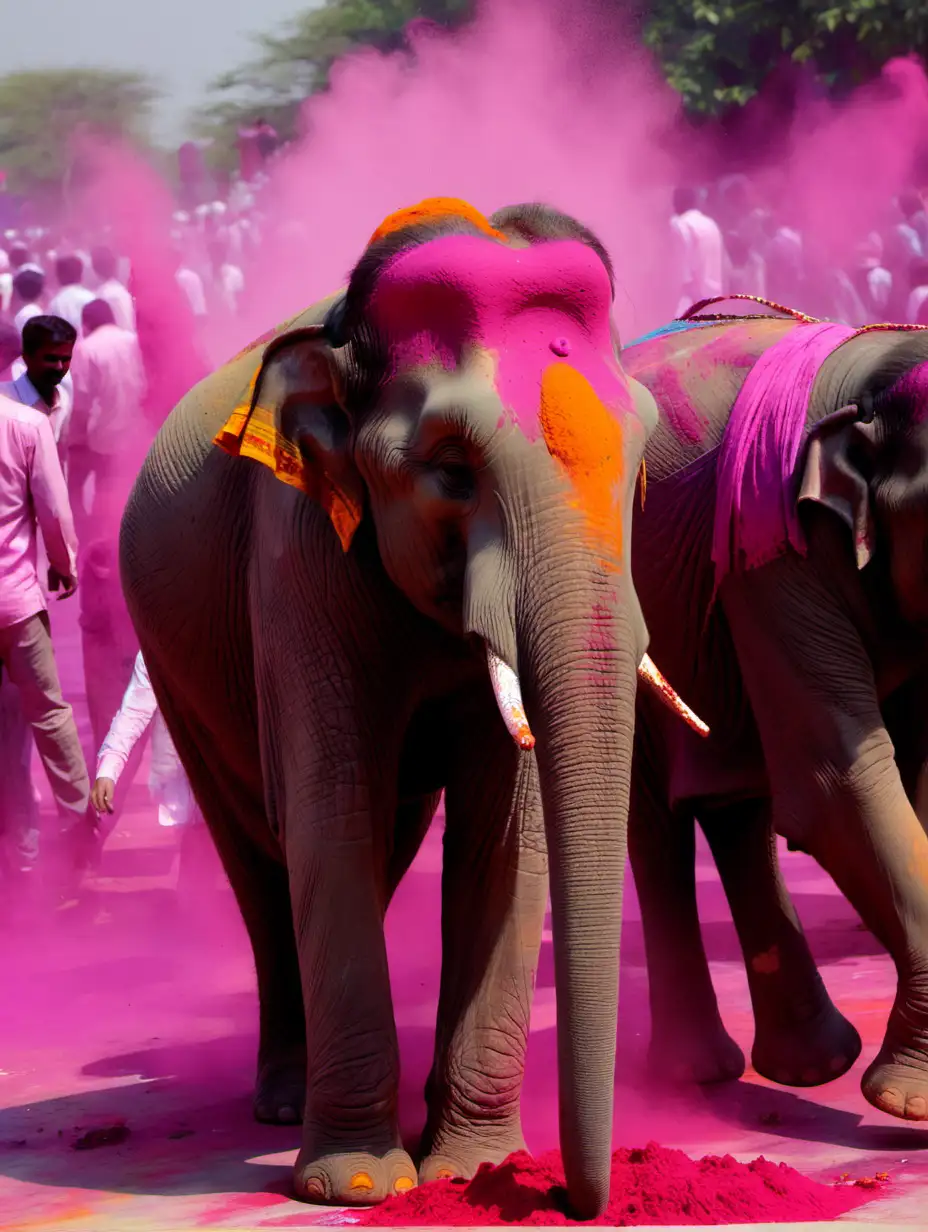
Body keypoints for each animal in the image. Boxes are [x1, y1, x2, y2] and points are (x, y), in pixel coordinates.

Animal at [121, 197, 700, 1217]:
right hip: (174, 668)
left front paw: (467, 1170)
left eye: (639, 464)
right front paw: (354, 1182)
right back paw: (281, 1101)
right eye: (450, 471)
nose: (574, 1199)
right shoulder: (294, 545)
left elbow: (504, 831)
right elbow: (331, 802)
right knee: (259, 855)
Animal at [616, 303, 928, 1123]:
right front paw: (907, 1107)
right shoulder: (778, 545)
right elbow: (834, 780)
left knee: (737, 806)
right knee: (654, 816)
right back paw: (697, 1076)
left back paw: (810, 1066)